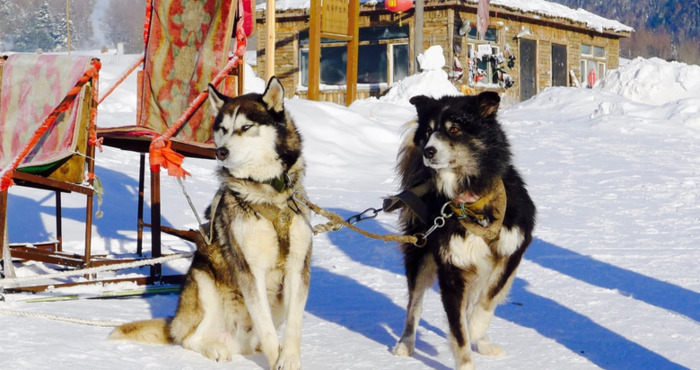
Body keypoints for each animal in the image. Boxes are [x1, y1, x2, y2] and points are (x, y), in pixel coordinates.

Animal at [109, 76, 312, 368]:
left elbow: (294, 325)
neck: (269, 194)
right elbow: (266, 327)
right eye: (223, 129)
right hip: (202, 282)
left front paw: (289, 358)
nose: (220, 151)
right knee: (188, 337)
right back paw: (213, 347)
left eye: (246, 127)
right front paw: (277, 360)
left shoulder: (298, 266)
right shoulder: (250, 270)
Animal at [394, 92, 536, 370]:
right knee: (413, 305)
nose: (428, 151)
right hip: (421, 255)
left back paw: (482, 340)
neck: (472, 204)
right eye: (428, 131)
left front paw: (476, 330)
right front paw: (466, 357)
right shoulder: (452, 267)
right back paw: (406, 343)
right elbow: (458, 331)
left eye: (455, 129)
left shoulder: (513, 249)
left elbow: (489, 297)